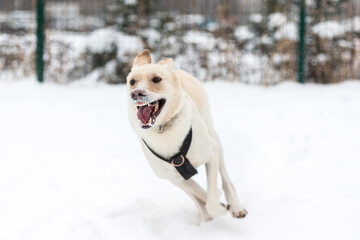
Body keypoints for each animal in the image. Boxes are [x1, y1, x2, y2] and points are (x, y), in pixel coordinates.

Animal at [126, 49, 248, 222]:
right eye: (132, 82)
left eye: (156, 79)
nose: (136, 93)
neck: (163, 128)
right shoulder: (173, 177)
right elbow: (199, 194)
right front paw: (216, 208)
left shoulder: (211, 154)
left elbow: (211, 200)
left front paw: (221, 207)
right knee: (196, 197)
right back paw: (205, 217)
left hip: (214, 137)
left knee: (225, 178)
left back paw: (235, 206)